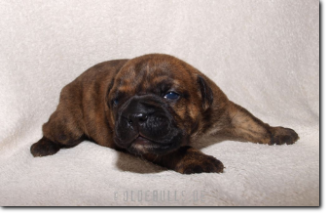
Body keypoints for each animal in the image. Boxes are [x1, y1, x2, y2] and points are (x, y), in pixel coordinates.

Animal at [31, 53, 300, 175]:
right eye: (116, 101)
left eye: (170, 95)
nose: (135, 116)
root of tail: (72, 82)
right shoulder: (154, 145)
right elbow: (179, 151)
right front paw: (201, 160)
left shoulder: (228, 110)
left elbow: (254, 123)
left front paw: (278, 132)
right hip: (67, 124)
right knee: (50, 128)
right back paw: (42, 146)